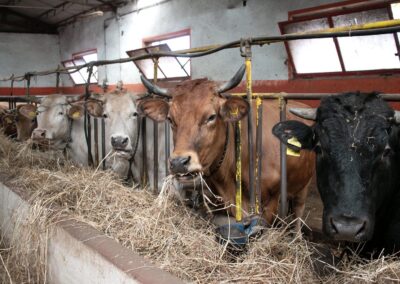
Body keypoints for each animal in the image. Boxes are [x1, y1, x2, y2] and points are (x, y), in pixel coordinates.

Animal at [139, 65, 314, 227]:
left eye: (211, 117)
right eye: (170, 119)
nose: (178, 163)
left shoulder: (271, 201)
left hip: (304, 185)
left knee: (298, 212)